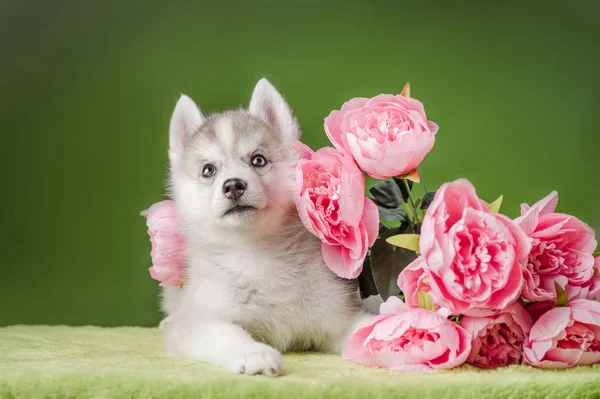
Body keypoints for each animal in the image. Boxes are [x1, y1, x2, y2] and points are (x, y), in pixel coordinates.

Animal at [162, 79, 372, 378]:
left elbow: (367, 326)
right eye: (208, 170)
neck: (257, 252)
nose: (233, 185)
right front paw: (254, 354)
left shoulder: (336, 318)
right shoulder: (199, 321)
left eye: (258, 160)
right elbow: (225, 334)